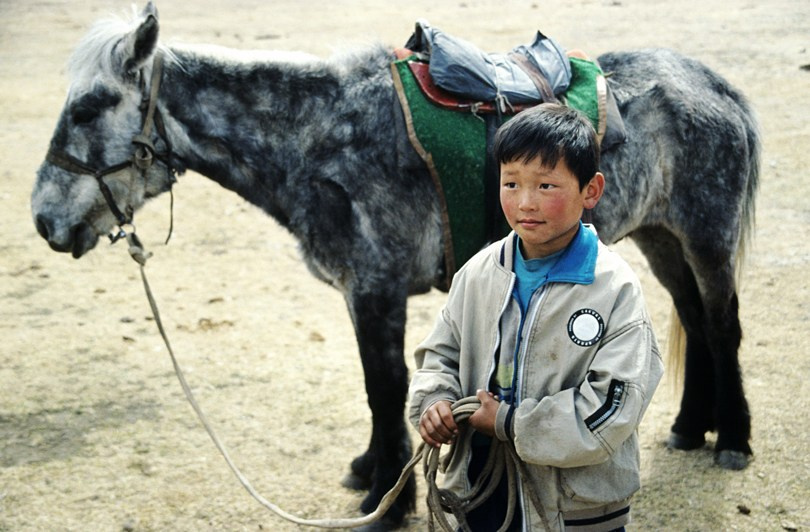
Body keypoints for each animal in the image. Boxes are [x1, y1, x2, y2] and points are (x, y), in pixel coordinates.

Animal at [31, 3, 758, 528]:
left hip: (705, 237)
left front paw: (387, 500)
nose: (43, 220)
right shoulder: (362, 293)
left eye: (89, 108)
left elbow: (383, 388)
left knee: (721, 324)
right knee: (693, 319)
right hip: (661, 236)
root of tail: (709, 81)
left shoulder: (376, 291)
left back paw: (733, 438)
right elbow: (377, 391)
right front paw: (373, 472)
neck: (322, 140)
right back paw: (690, 427)